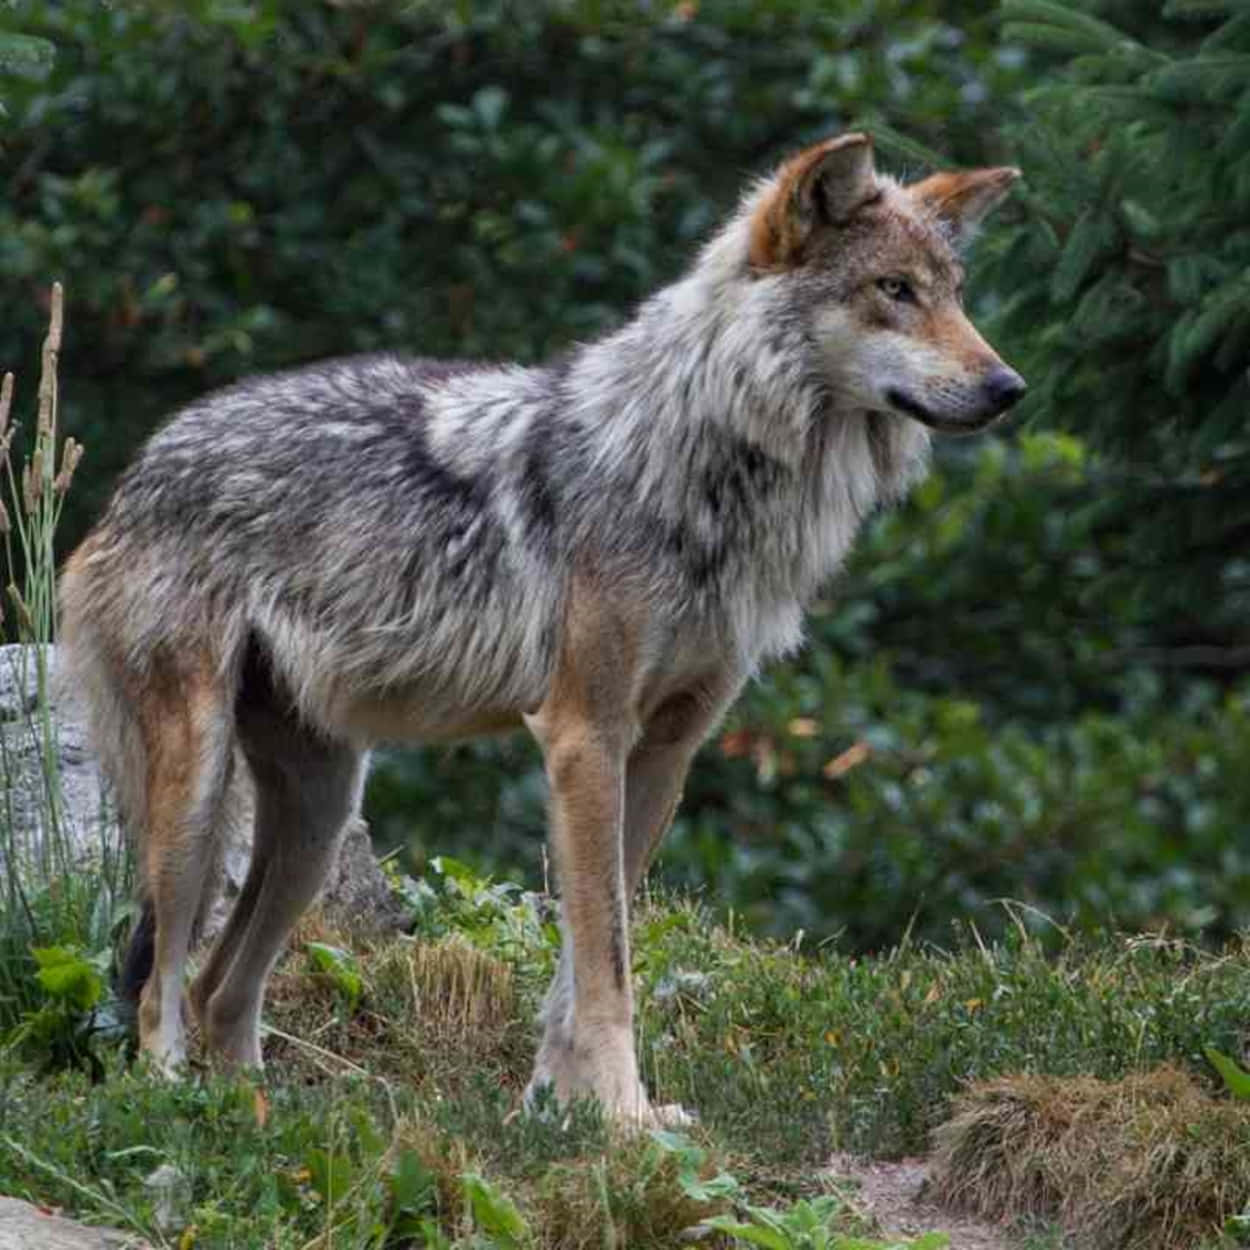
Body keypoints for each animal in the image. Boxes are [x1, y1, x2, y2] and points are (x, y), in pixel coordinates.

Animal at [60, 134, 1025, 1125]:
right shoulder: (581, 735)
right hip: (199, 792)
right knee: (159, 984)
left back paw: (257, 1114)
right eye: (893, 289)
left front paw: (564, 1106)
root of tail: (142, 465)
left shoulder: (665, 749)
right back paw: (173, 1105)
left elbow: (589, 955)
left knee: (218, 986)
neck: (701, 474)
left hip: (321, 818)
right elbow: (607, 960)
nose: (1008, 387)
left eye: (955, 292)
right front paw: (624, 1119)